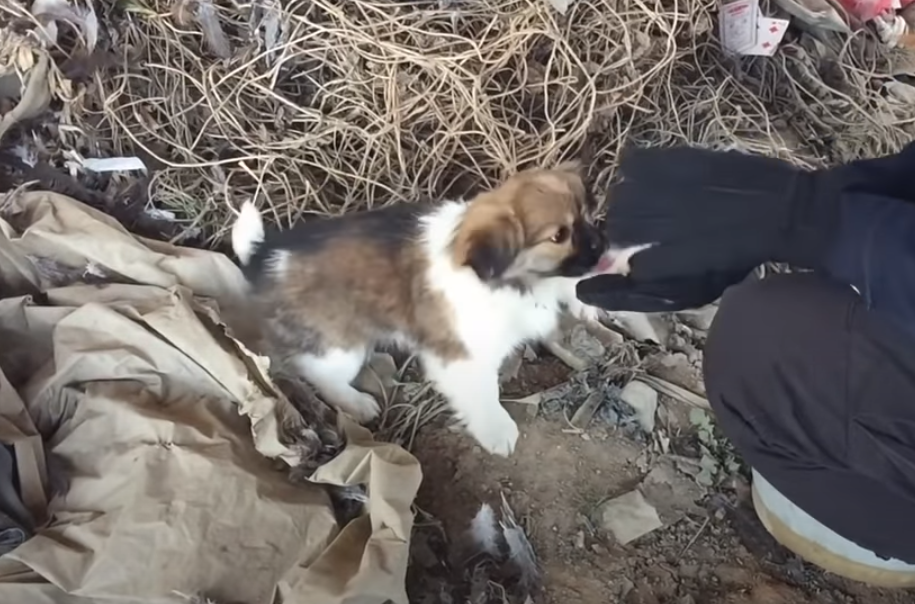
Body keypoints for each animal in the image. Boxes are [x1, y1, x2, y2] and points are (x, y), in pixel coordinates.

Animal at [231, 162, 626, 456]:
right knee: (317, 372)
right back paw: (356, 403)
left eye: (587, 214)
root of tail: (265, 256)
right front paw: (497, 431)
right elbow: (484, 395)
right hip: (339, 348)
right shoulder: (461, 356)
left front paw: (590, 303)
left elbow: (568, 284)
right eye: (559, 236)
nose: (604, 243)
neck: (513, 280)